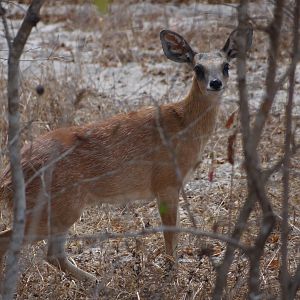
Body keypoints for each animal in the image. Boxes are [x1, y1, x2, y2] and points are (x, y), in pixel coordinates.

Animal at [0, 26, 253, 284]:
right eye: (198, 67)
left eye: (226, 66)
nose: (215, 83)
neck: (183, 124)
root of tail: (9, 176)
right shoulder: (166, 183)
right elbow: (171, 234)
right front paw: (171, 275)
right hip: (56, 207)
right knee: (15, 243)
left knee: (52, 253)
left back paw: (100, 283)